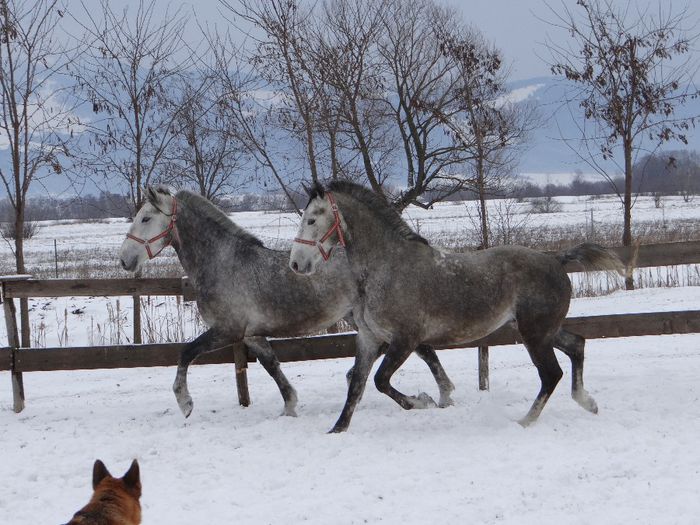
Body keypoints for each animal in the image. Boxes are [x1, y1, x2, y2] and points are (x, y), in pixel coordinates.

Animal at [118, 184, 456, 418]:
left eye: (145, 218)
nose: (124, 260)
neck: (222, 263)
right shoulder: (251, 336)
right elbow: (272, 366)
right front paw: (290, 407)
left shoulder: (228, 330)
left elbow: (186, 353)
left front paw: (185, 403)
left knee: (420, 349)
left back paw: (439, 396)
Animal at [290, 182, 624, 432]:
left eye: (311, 219)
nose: (296, 264)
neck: (386, 266)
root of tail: (556, 259)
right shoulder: (369, 339)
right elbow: (357, 385)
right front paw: (337, 429)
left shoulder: (405, 339)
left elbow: (380, 381)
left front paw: (423, 401)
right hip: (542, 330)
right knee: (577, 345)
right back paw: (587, 402)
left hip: (535, 335)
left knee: (551, 374)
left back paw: (526, 421)